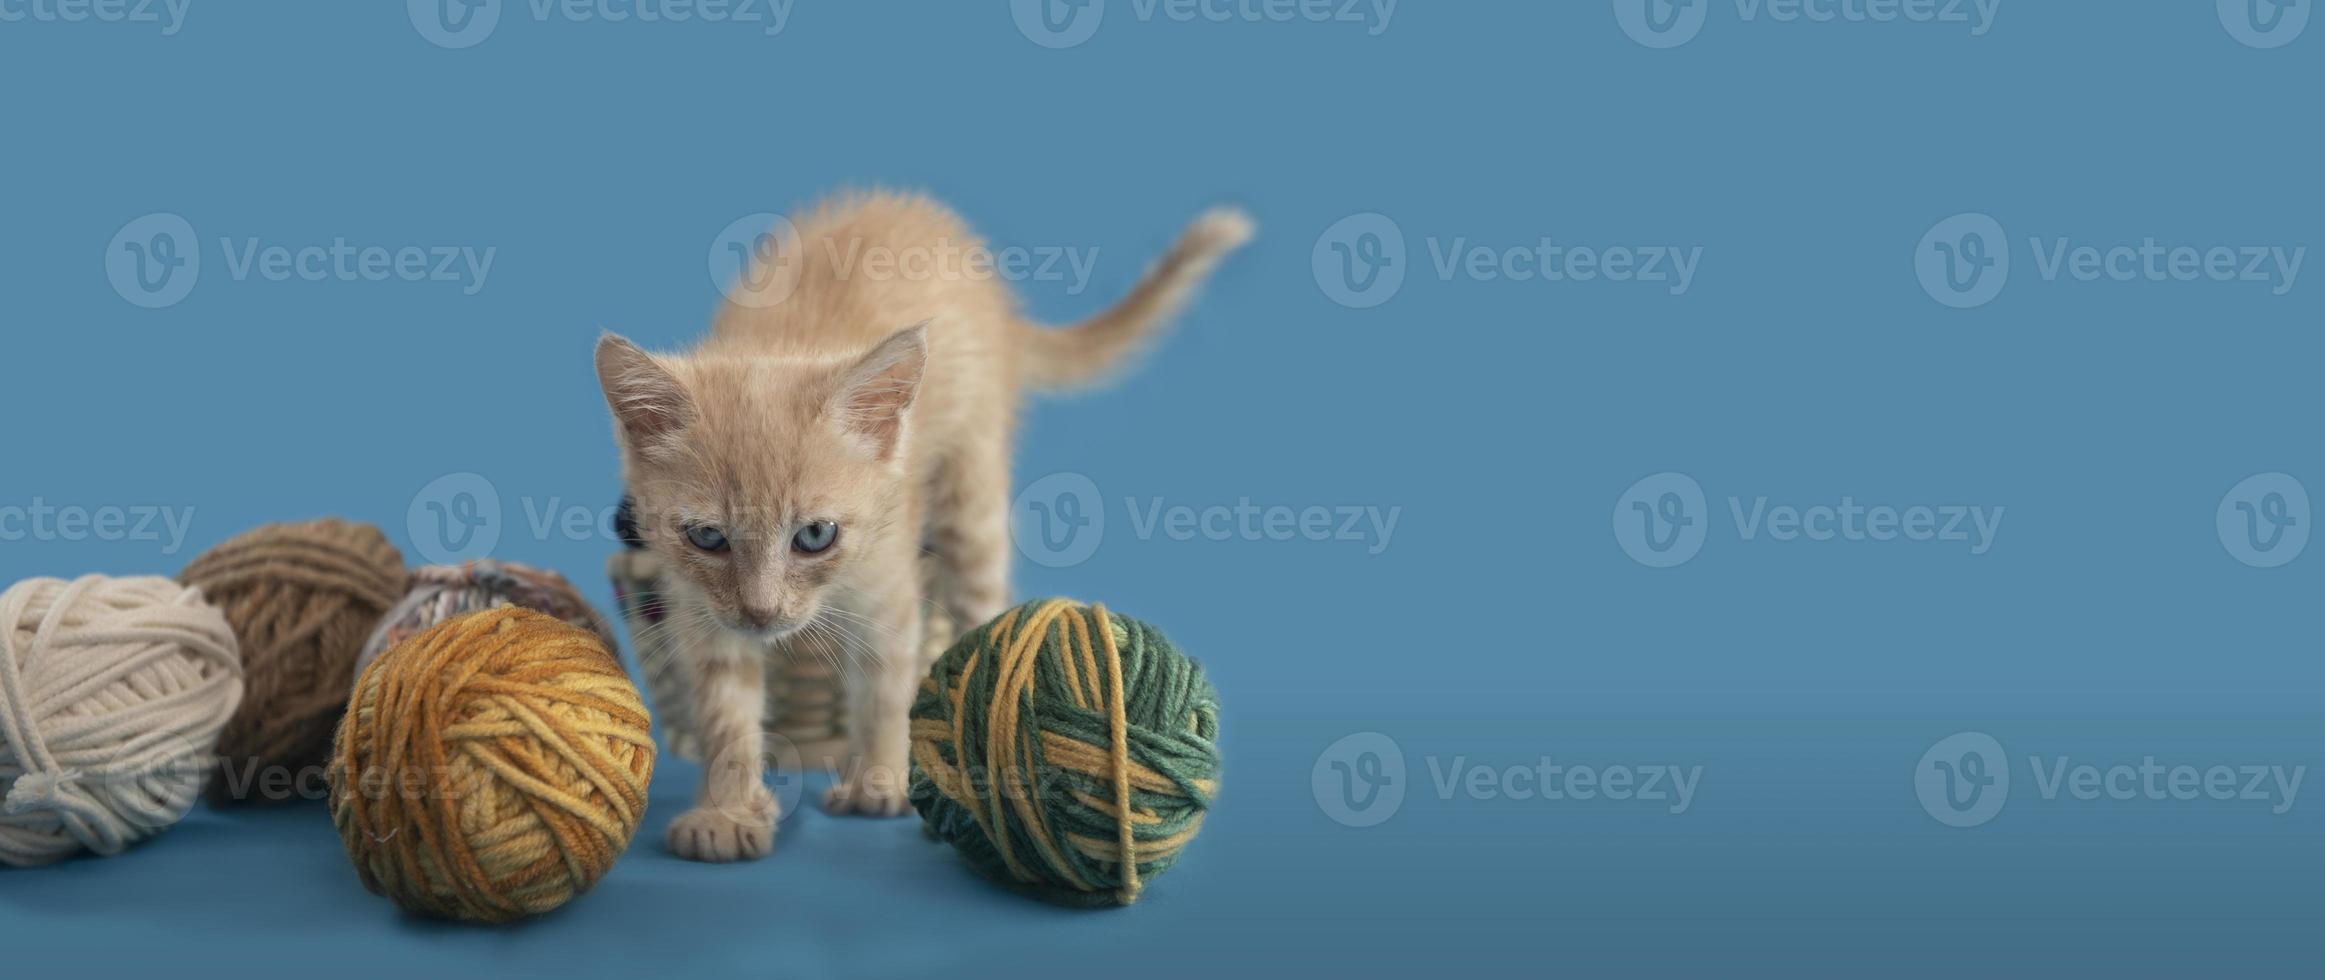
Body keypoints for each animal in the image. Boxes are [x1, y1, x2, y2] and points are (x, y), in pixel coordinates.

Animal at [599, 189, 1255, 859]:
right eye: (708, 537)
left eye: (815, 536)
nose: (761, 613)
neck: (781, 344)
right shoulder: (699, 605)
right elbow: (724, 710)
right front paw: (726, 812)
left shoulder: (888, 583)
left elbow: (885, 688)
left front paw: (878, 779)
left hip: (974, 490)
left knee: (984, 600)